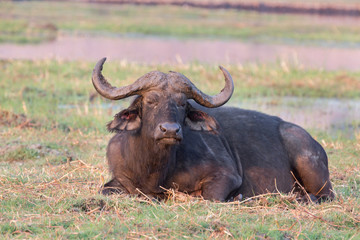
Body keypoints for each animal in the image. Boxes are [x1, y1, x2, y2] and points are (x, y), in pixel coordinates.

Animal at [93, 58, 334, 202]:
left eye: (182, 103)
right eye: (150, 100)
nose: (169, 130)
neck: (155, 167)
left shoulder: (227, 176)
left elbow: (209, 196)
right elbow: (106, 190)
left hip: (309, 165)